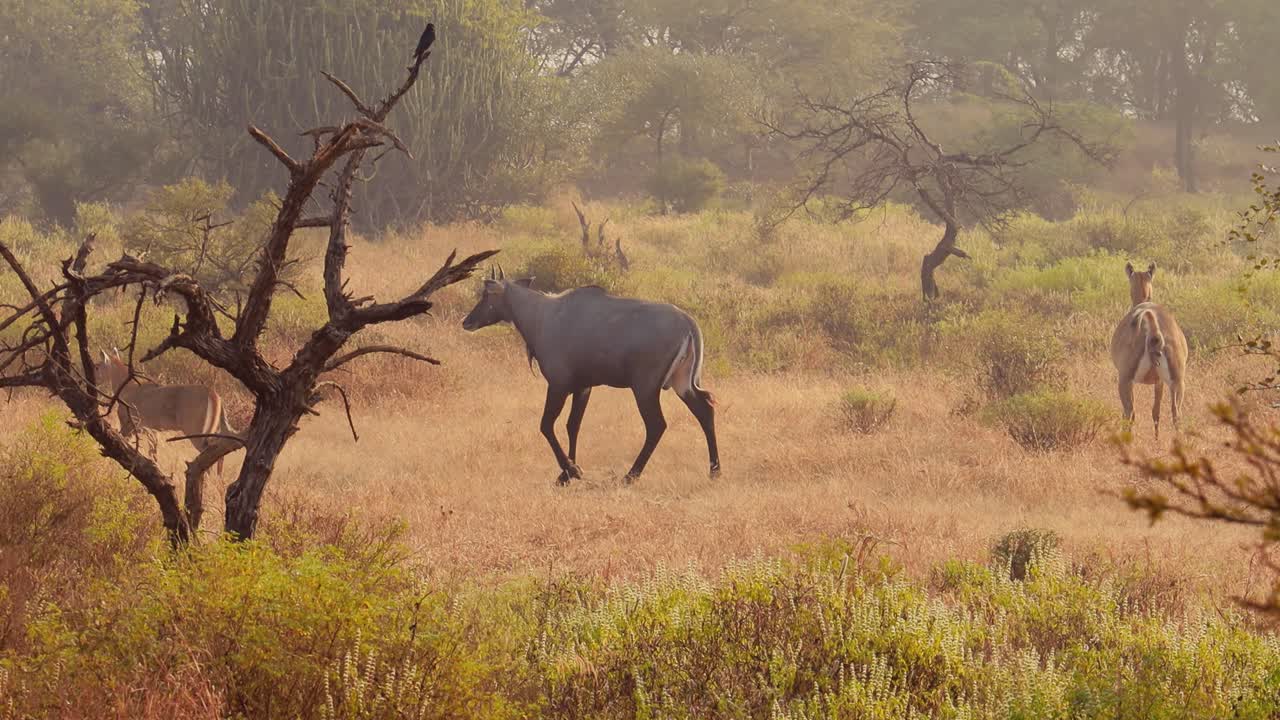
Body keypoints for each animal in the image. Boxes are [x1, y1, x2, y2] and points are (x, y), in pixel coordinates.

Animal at [93, 350, 238, 473]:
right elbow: (153, 454)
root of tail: (214, 394)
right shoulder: (152, 431)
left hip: (197, 432)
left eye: (97, 366)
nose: (93, 379)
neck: (128, 387)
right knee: (218, 453)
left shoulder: (128, 426)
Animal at [462, 268, 720, 484]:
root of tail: (688, 324)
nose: (467, 321)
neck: (542, 315)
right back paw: (714, 471)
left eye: (486, 294)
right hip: (683, 384)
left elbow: (546, 425)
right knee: (704, 410)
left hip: (645, 388)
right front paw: (567, 473)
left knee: (657, 425)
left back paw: (630, 476)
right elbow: (573, 425)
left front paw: (571, 471)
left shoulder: (558, 385)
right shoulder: (583, 387)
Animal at [1110, 262, 1188, 438]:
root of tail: (1153, 328)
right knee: (1176, 415)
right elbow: (1156, 412)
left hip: (1125, 380)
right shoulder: (1159, 381)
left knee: (1129, 413)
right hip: (1177, 382)